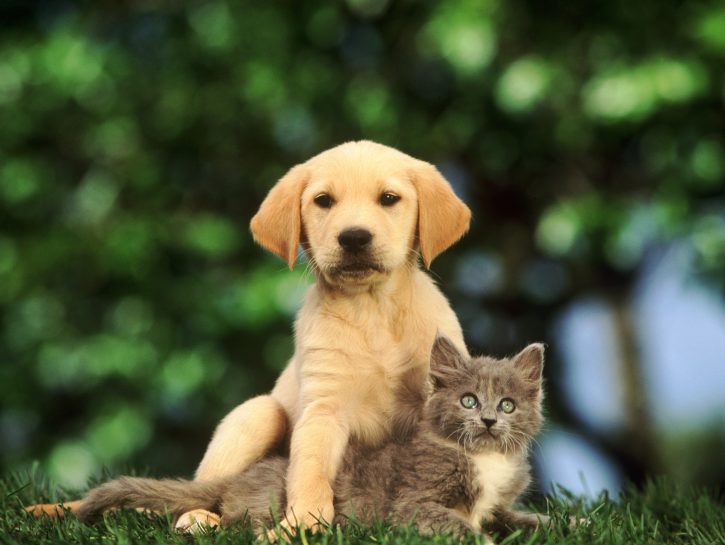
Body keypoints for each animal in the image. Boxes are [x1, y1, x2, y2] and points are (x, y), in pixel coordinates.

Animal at [25, 141, 470, 536]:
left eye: (389, 198)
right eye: (323, 201)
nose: (354, 237)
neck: (372, 310)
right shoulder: (323, 409)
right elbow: (310, 475)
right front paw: (302, 525)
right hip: (258, 414)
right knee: (196, 493)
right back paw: (198, 519)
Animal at [78, 338, 544, 536]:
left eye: (507, 405)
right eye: (468, 400)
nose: (488, 420)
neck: (484, 459)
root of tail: (241, 477)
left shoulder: (494, 503)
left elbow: (510, 516)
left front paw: (546, 520)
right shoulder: (412, 503)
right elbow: (452, 521)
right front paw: (482, 539)